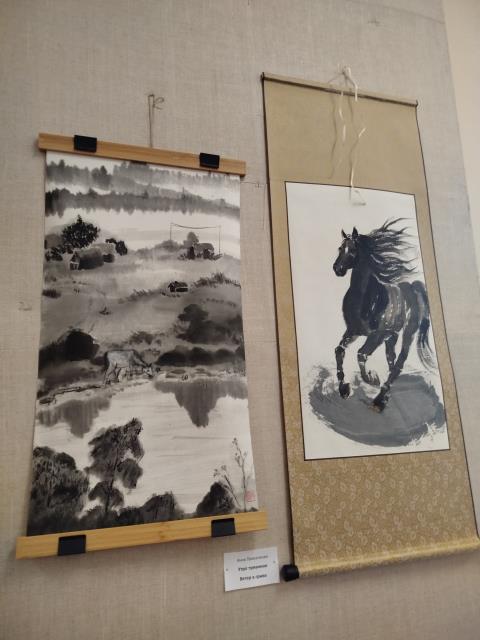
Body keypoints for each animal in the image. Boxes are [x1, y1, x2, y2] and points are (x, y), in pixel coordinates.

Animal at [332, 219, 435, 411]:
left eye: (353, 250)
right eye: (340, 248)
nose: (337, 269)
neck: (364, 298)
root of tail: (413, 287)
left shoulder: (376, 335)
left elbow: (361, 354)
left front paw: (372, 379)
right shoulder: (353, 331)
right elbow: (339, 350)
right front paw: (344, 389)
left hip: (406, 333)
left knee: (399, 361)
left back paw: (379, 400)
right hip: (392, 336)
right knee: (391, 360)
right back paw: (385, 395)